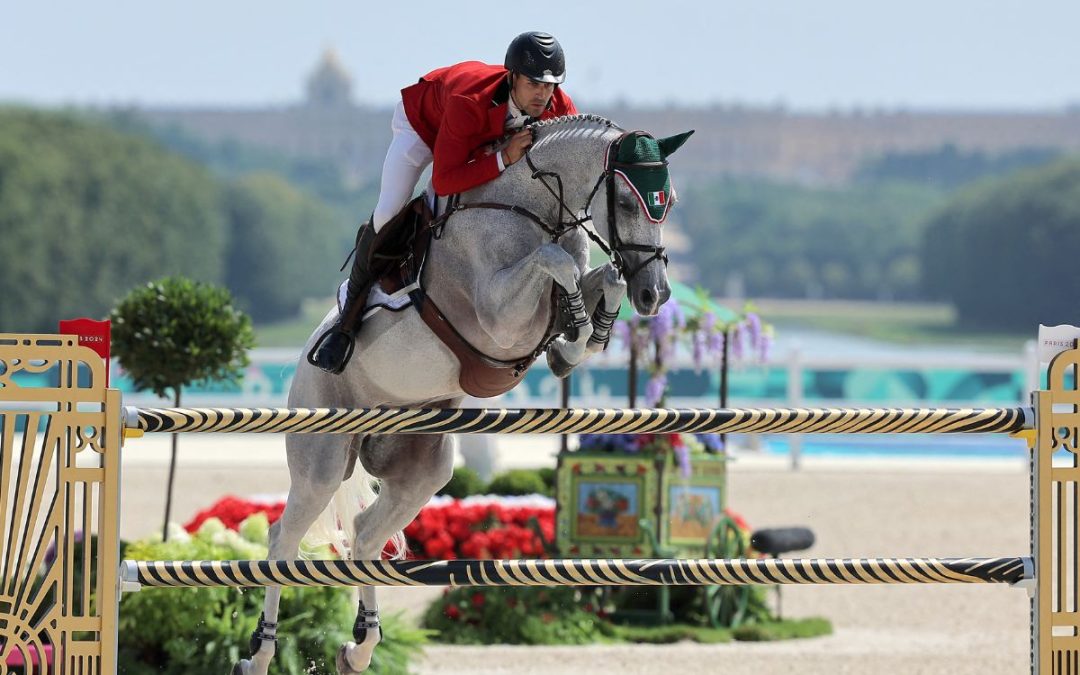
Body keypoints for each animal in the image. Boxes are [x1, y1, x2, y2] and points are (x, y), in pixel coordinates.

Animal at [235, 115, 691, 673]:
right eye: (626, 203)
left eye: (667, 201)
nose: (656, 294)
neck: (533, 209)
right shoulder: (498, 316)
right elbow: (556, 264)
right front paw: (576, 337)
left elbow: (602, 280)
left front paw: (580, 340)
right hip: (321, 460)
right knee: (283, 541)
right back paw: (259, 654)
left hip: (421, 468)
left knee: (365, 535)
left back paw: (358, 647)